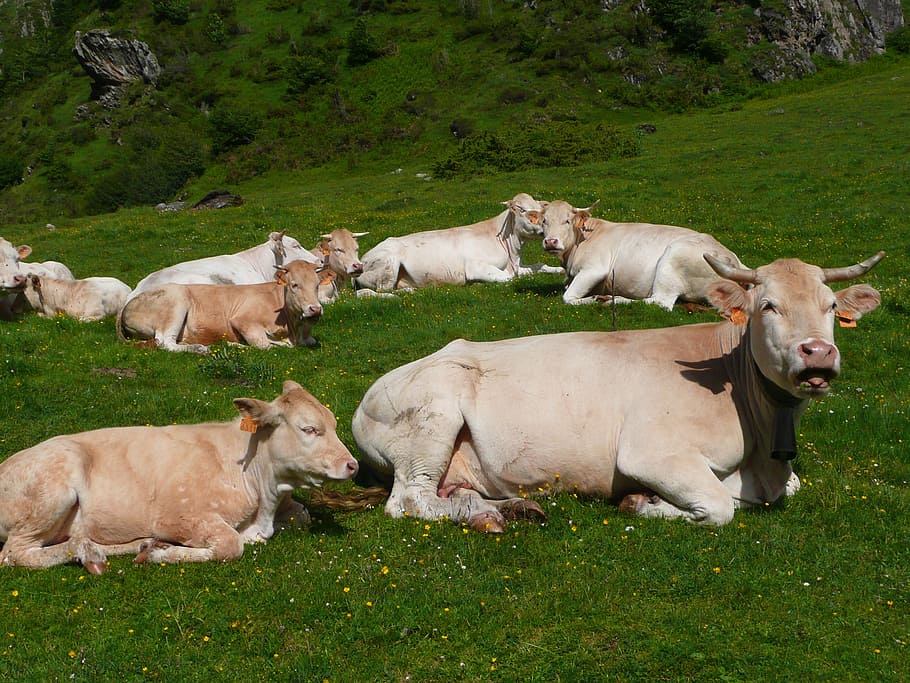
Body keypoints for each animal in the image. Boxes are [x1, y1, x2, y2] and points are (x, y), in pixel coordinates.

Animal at [0, 380, 359, 573]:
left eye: (334, 423)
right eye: (309, 429)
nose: (352, 465)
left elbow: (304, 515)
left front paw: (153, 549)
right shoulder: (179, 516)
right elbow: (231, 545)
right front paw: (163, 553)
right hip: (52, 492)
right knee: (14, 554)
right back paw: (88, 553)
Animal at [119, 260, 324, 353]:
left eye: (317, 284)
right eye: (294, 284)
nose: (315, 309)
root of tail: (129, 301)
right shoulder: (243, 321)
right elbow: (265, 345)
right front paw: (234, 343)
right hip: (176, 300)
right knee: (165, 341)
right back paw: (199, 348)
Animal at [351, 252, 883, 531]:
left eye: (830, 305)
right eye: (767, 306)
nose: (818, 353)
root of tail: (368, 395)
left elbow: (785, 488)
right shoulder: (652, 452)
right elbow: (718, 506)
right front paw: (642, 503)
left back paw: (508, 509)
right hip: (430, 421)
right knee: (410, 500)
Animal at [353, 193, 563, 294]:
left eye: (540, 209)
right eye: (523, 210)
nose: (545, 227)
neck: (513, 251)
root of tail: (362, 259)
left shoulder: (518, 266)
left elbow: (540, 265)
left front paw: (559, 270)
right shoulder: (475, 267)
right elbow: (509, 278)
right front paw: (476, 284)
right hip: (388, 265)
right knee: (383, 289)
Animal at [535, 200, 748, 309]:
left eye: (567, 221)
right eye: (544, 221)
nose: (551, 242)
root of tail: (733, 259)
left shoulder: (594, 269)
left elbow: (568, 297)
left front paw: (592, 299)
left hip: (672, 260)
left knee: (661, 302)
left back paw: (611, 299)